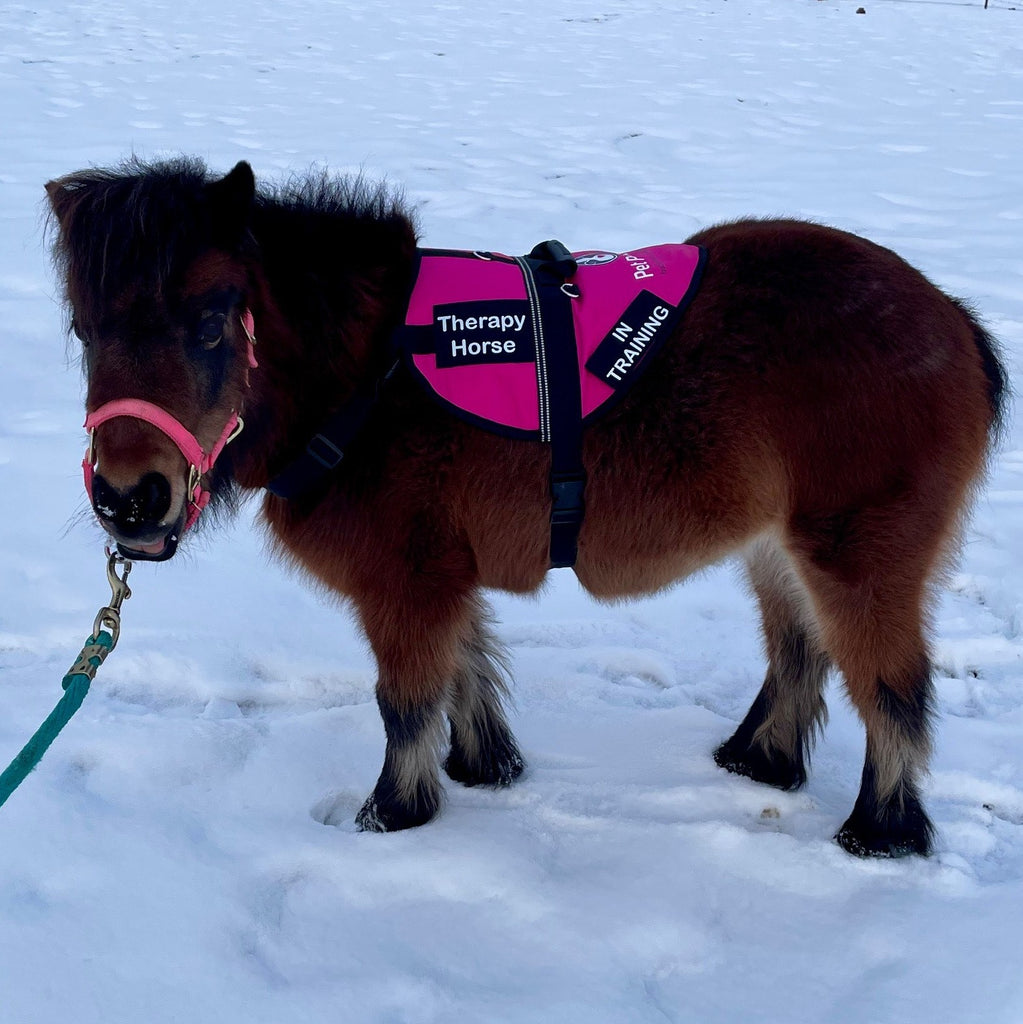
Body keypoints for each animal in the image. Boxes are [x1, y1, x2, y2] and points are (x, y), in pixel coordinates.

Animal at [48, 155, 1007, 856]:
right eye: (85, 333)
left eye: (212, 324)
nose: (130, 499)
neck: (369, 373)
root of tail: (952, 320)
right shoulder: (442, 574)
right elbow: (465, 667)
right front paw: (484, 767)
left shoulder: (405, 584)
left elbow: (406, 699)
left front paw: (391, 814)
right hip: (779, 549)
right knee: (798, 654)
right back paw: (757, 762)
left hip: (858, 559)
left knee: (891, 689)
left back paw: (880, 832)